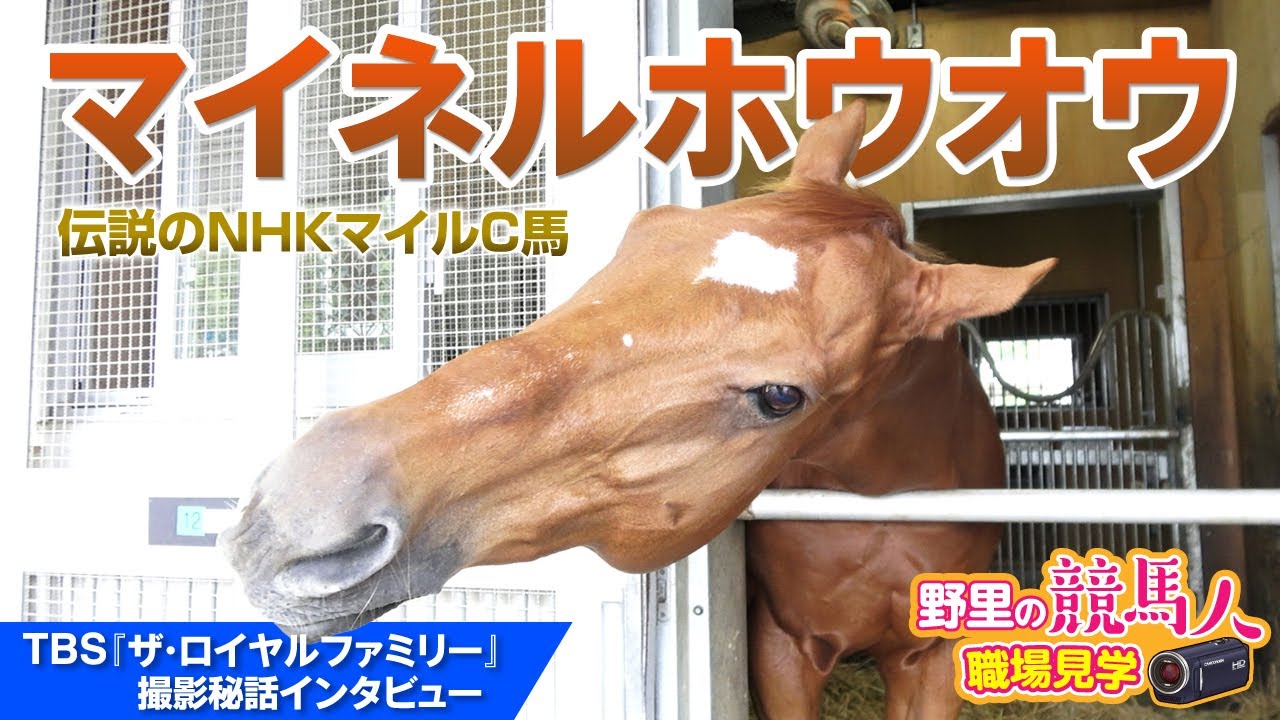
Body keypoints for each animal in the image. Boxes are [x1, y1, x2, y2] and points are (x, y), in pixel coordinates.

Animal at [219, 100, 1053, 718]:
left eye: (780, 397)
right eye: (644, 235)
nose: (295, 509)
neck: (878, 512)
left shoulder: (932, 661)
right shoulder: (783, 647)